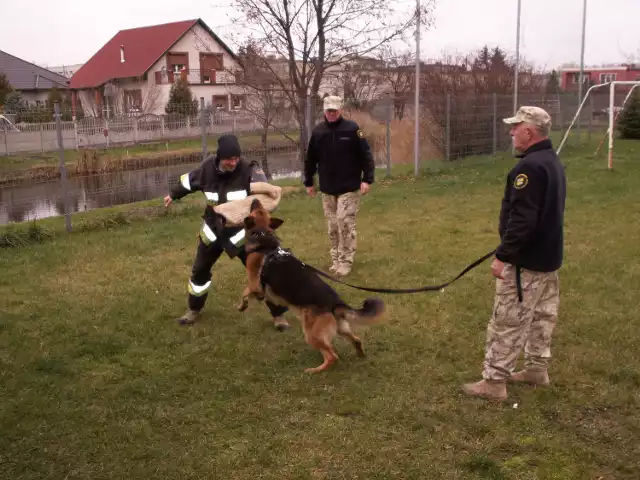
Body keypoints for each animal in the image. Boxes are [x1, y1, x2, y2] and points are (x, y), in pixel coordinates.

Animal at [239, 199, 384, 372]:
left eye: (255, 207)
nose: (254, 199)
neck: (263, 235)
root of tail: (336, 304)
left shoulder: (256, 286)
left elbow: (245, 291)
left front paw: (242, 306)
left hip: (311, 334)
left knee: (332, 356)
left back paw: (315, 370)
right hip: (341, 328)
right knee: (356, 340)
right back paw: (360, 355)